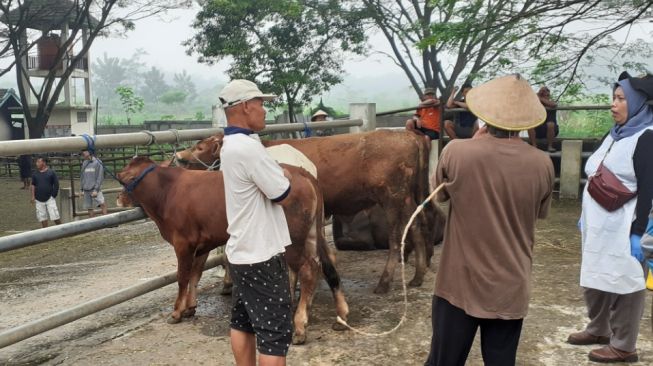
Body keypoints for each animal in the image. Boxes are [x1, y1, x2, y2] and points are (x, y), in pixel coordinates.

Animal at [117, 157, 352, 344]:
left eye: (124, 178)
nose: (119, 199)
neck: (167, 191)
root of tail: (302, 172)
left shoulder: (183, 242)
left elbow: (182, 277)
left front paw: (176, 312)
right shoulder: (202, 244)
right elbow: (195, 275)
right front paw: (190, 307)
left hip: (292, 240)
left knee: (309, 269)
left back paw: (301, 326)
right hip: (313, 232)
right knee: (327, 262)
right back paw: (340, 315)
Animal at [176, 130, 444, 294]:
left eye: (200, 146)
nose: (177, 157)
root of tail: (409, 135)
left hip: (392, 198)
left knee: (397, 238)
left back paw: (385, 282)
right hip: (407, 198)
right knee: (417, 225)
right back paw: (418, 275)